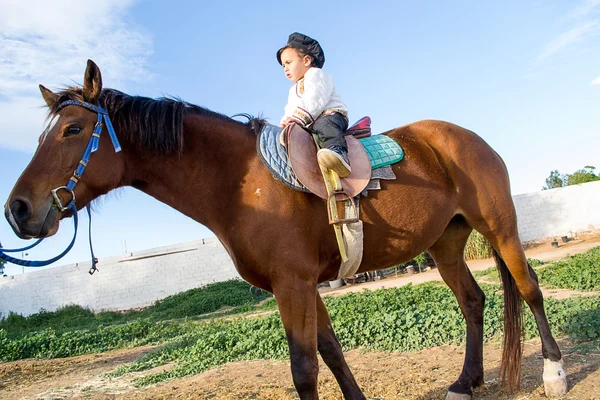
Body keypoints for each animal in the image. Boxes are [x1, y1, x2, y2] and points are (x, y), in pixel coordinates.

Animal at [4, 59, 568, 400]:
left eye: (73, 129)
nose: (17, 210)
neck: (240, 182)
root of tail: (464, 137)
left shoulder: (291, 285)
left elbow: (304, 368)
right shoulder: (303, 285)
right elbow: (331, 353)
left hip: (499, 226)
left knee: (529, 288)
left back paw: (555, 373)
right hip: (445, 242)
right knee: (473, 301)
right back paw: (466, 382)